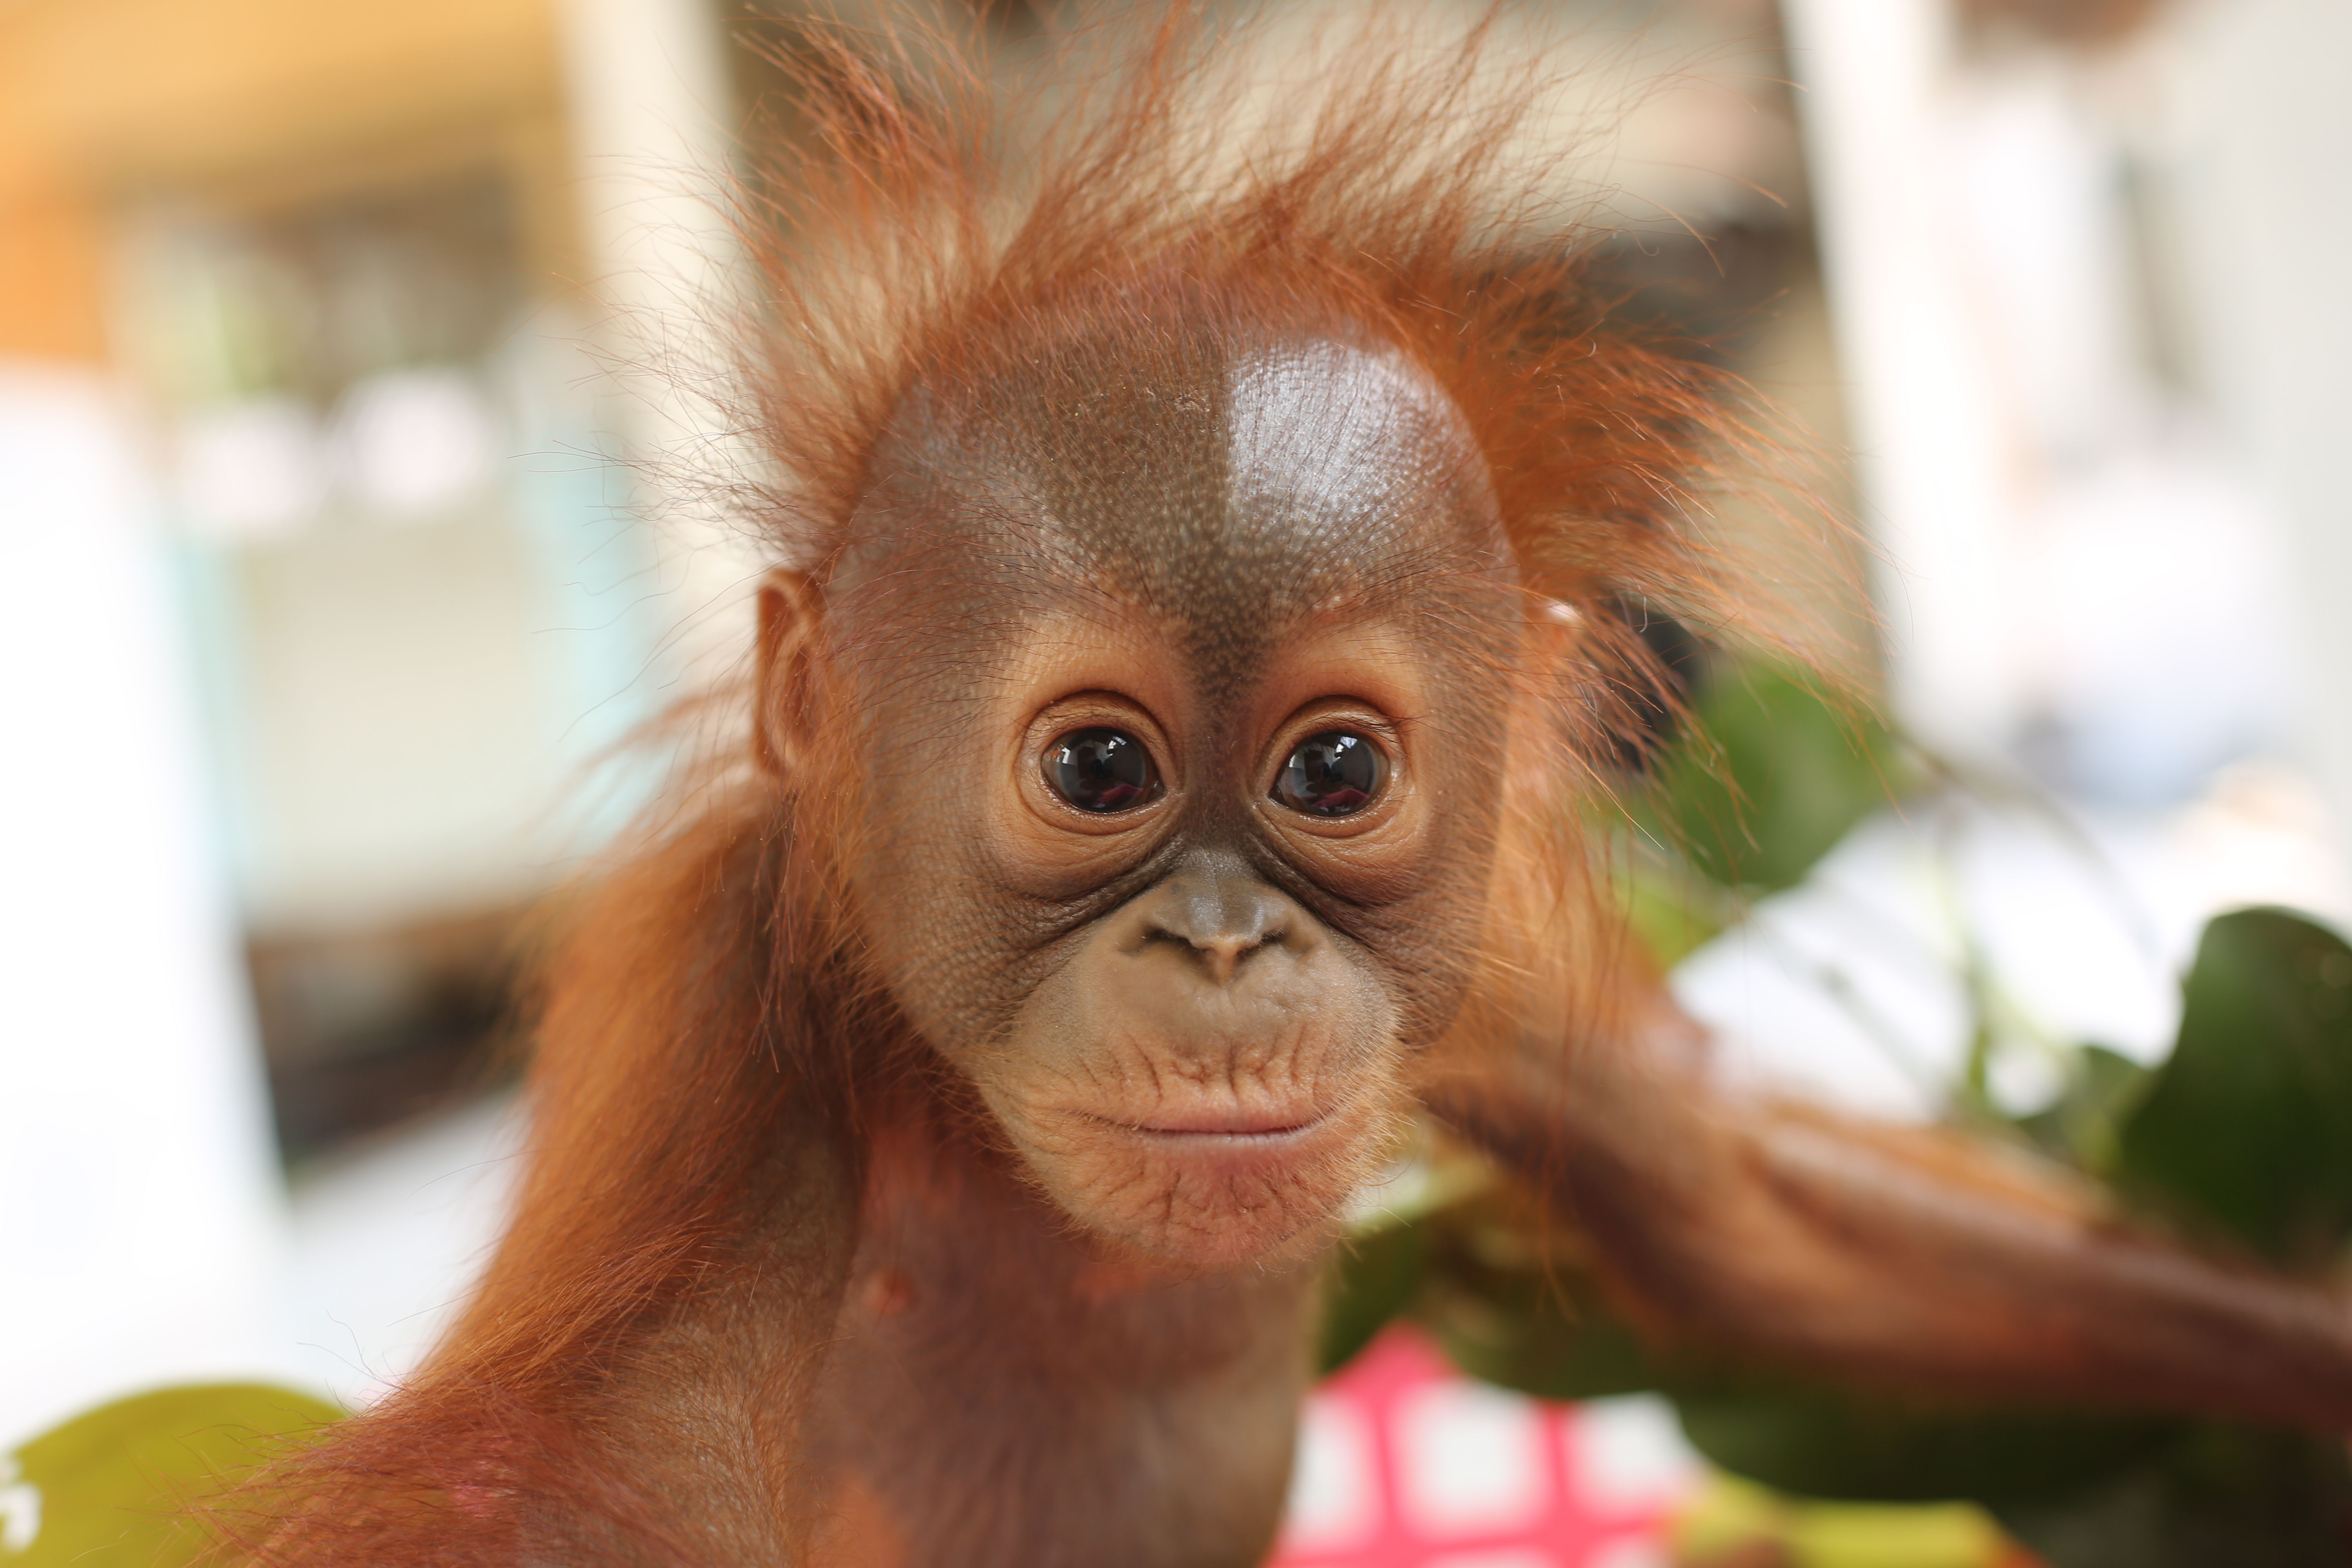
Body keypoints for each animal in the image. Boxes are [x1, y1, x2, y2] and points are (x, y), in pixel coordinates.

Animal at [231, 11, 2352, 1566]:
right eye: (1099, 765)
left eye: (1331, 768)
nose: (1226, 947)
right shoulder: (716, 1018)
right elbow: (574, 1470)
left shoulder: (1500, 956)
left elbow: (1741, 1204)